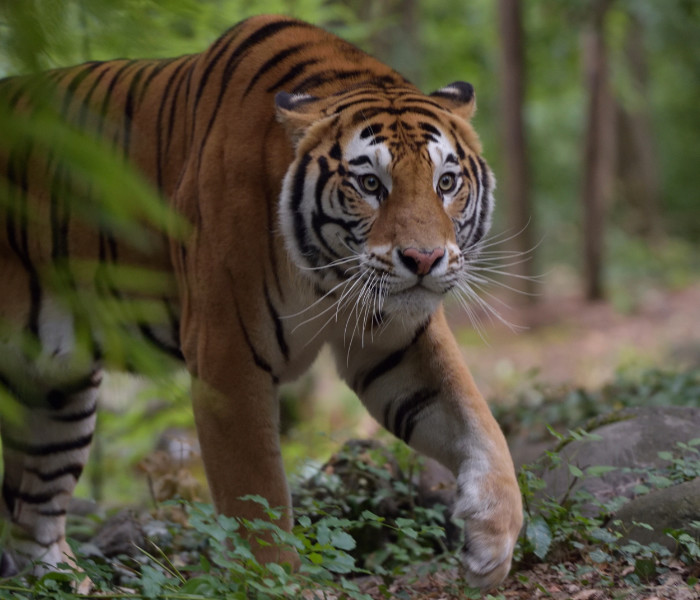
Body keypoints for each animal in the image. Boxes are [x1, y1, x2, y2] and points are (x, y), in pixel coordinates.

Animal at [0, 14, 524, 592]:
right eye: (370, 184)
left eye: (446, 182)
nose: (424, 258)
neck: (327, 279)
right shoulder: (226, 355)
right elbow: (257, 491)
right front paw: (278, 581)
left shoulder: (396, 342)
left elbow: (478, 422)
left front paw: (491, 543)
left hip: (55, 393)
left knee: (31, 515)